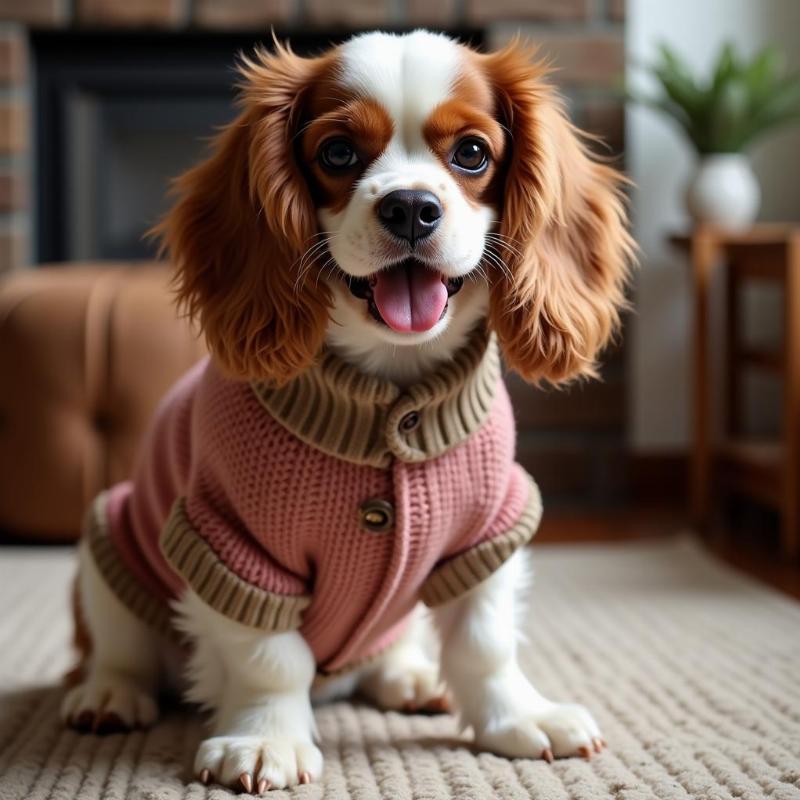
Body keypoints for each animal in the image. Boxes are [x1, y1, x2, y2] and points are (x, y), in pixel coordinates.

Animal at [62, 28, 636, 792]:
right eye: (337, 153)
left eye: (472, 153)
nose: (411, 206)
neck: (387, 391)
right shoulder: (228, 542)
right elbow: (270, 657)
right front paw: (267, 739)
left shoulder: (490, 529)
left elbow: (484, 640)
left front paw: (517, 718)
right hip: (109, 537)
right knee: (117, 648)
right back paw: (107, 694)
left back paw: (408, 677)